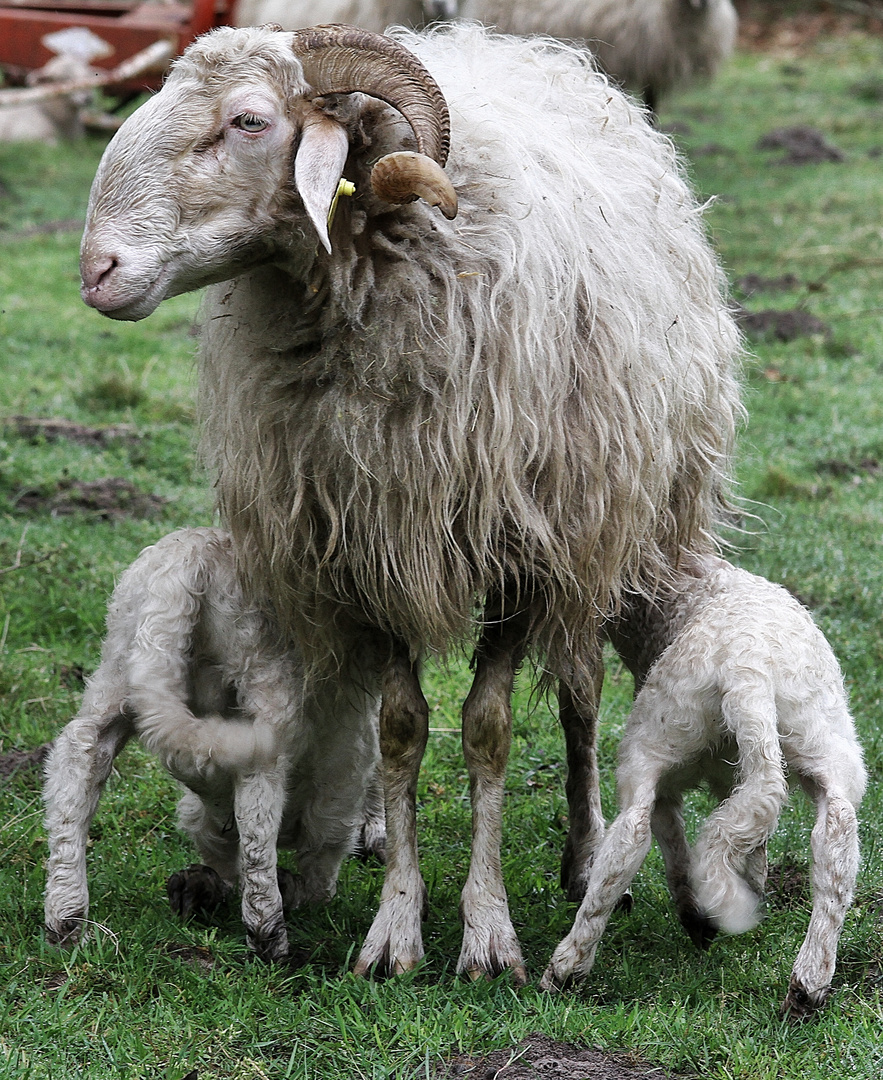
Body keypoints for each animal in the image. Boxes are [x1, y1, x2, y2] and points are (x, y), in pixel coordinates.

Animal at [42, 527, 377, 959]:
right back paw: (268, 931)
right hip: (265, 666)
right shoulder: (345, 774)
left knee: (81, 752)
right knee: (258, 800)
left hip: (119, 663)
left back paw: (67, 917)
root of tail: (191, 552)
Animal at [77, 23, 742, 989]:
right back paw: (366, 827)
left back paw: (587, 860)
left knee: (580, 698)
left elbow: (488, 732)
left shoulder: (521, 556)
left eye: (248, 121)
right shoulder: (368, 549)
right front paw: (395, 924)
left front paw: (487, 933)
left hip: (600, 529)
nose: (97, 271)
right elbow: (399, 731)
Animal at [539, 552, 863, 1015]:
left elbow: (670, 831)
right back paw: (808, 986)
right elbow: (752, 837)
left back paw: (565, 968)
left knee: (628, 838)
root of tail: (749, 670)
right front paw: (751, 886)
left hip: (659, 731)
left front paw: (697, 916)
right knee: (835, 842)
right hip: (825, 736)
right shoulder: (737, 777)